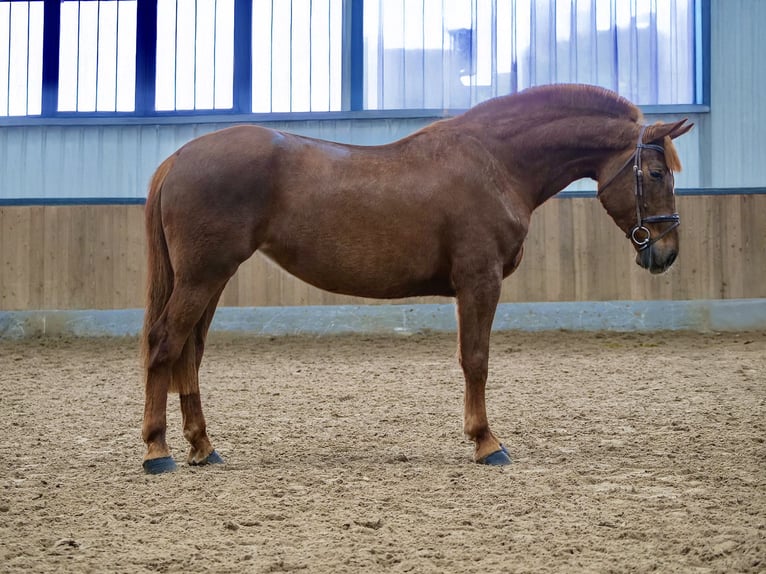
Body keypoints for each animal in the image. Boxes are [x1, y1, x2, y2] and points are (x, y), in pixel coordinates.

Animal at [140, 83, 696, 474]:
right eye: (656, 174)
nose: (666, 253)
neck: (497, 164)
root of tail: (178, 158)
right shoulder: (479, 281)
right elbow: (476, 360)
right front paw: (487, 443)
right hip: (203, 275)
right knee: (166, 344)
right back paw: (157, 452)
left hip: (211, 278)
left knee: (190, 354)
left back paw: (202, 447)